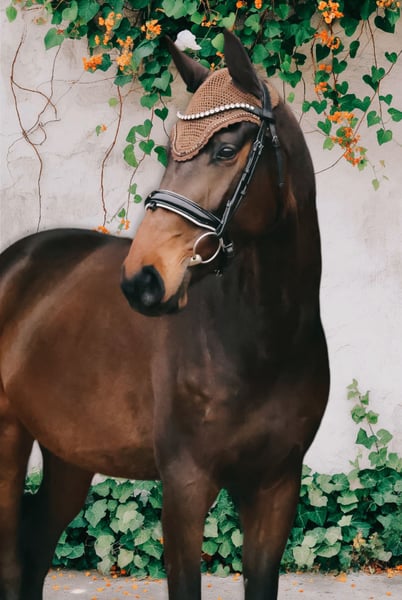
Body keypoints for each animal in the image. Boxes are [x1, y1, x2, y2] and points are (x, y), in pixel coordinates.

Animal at [0, 30, 329, 600]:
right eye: (169, 151)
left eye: (225, 149)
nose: (142, 280)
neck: (266, 342)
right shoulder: (185, 486)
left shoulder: (277, 488)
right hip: (7, 439)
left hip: (69, 456)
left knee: (35, 548)